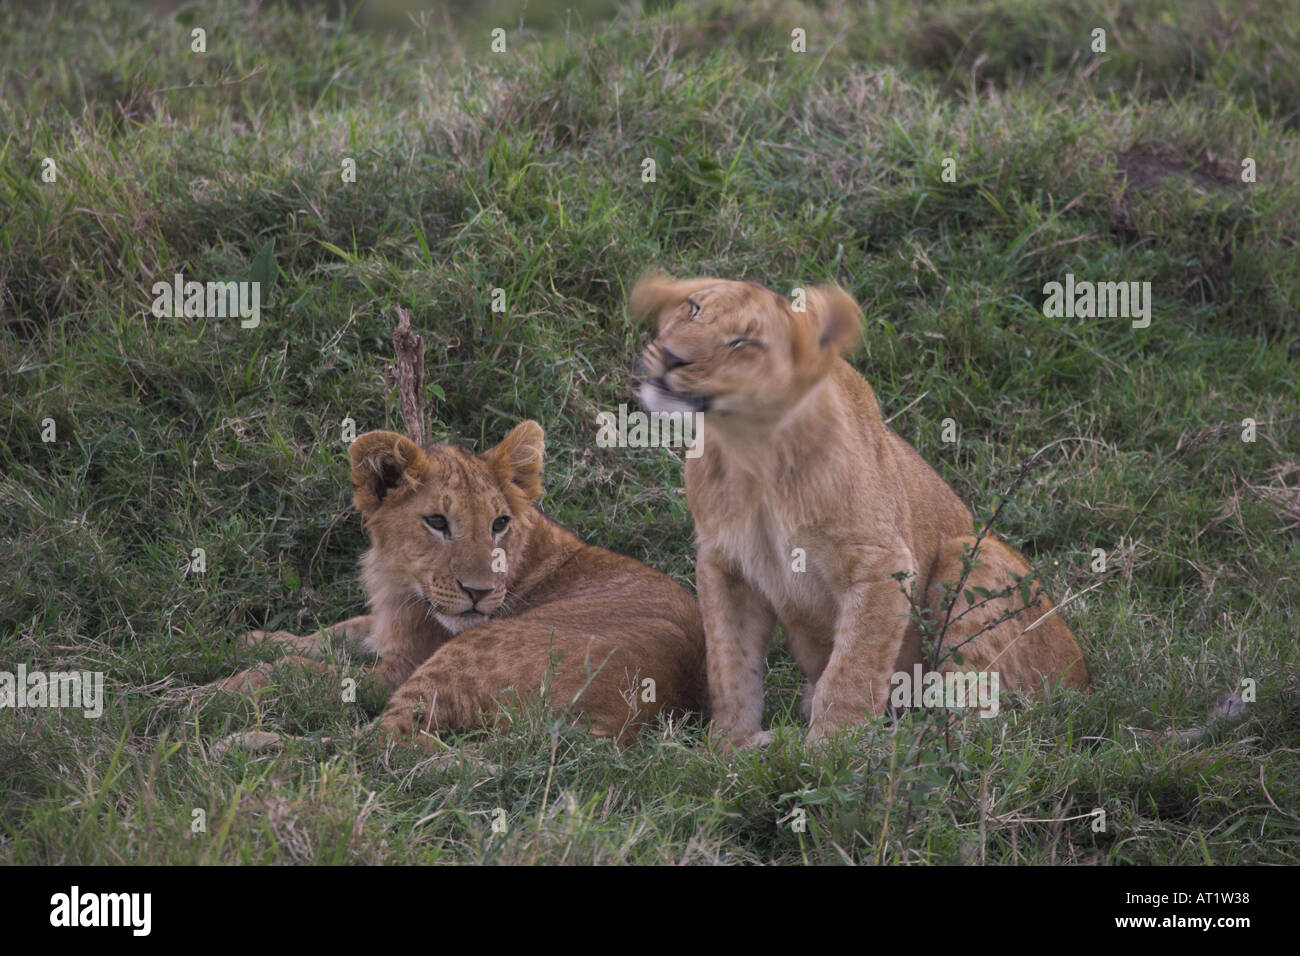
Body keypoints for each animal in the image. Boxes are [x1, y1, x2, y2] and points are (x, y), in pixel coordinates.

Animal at [216, 421, 708, 748]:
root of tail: (622, 722)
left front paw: (228, 685)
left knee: (378, 743)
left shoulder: (400, 666)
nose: (479, 593)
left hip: (464, 655)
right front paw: (255, 640)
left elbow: (300, 672)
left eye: (499, 523)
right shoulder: (387, 624)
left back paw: (246, 744)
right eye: (436, 522)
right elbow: (334, 633)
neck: (401, 583)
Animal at [629, 274, 1090, 749]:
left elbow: (851, 669)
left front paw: (829, 749)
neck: (751, 453)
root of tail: (1083, 679)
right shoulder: (725, 566)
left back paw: (904, 744)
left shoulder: (881, 563)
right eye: (693, 308)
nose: (671, 356)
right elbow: (729, 664)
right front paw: (731, 746)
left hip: (972, 553)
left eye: (744, 342)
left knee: (980, 722)